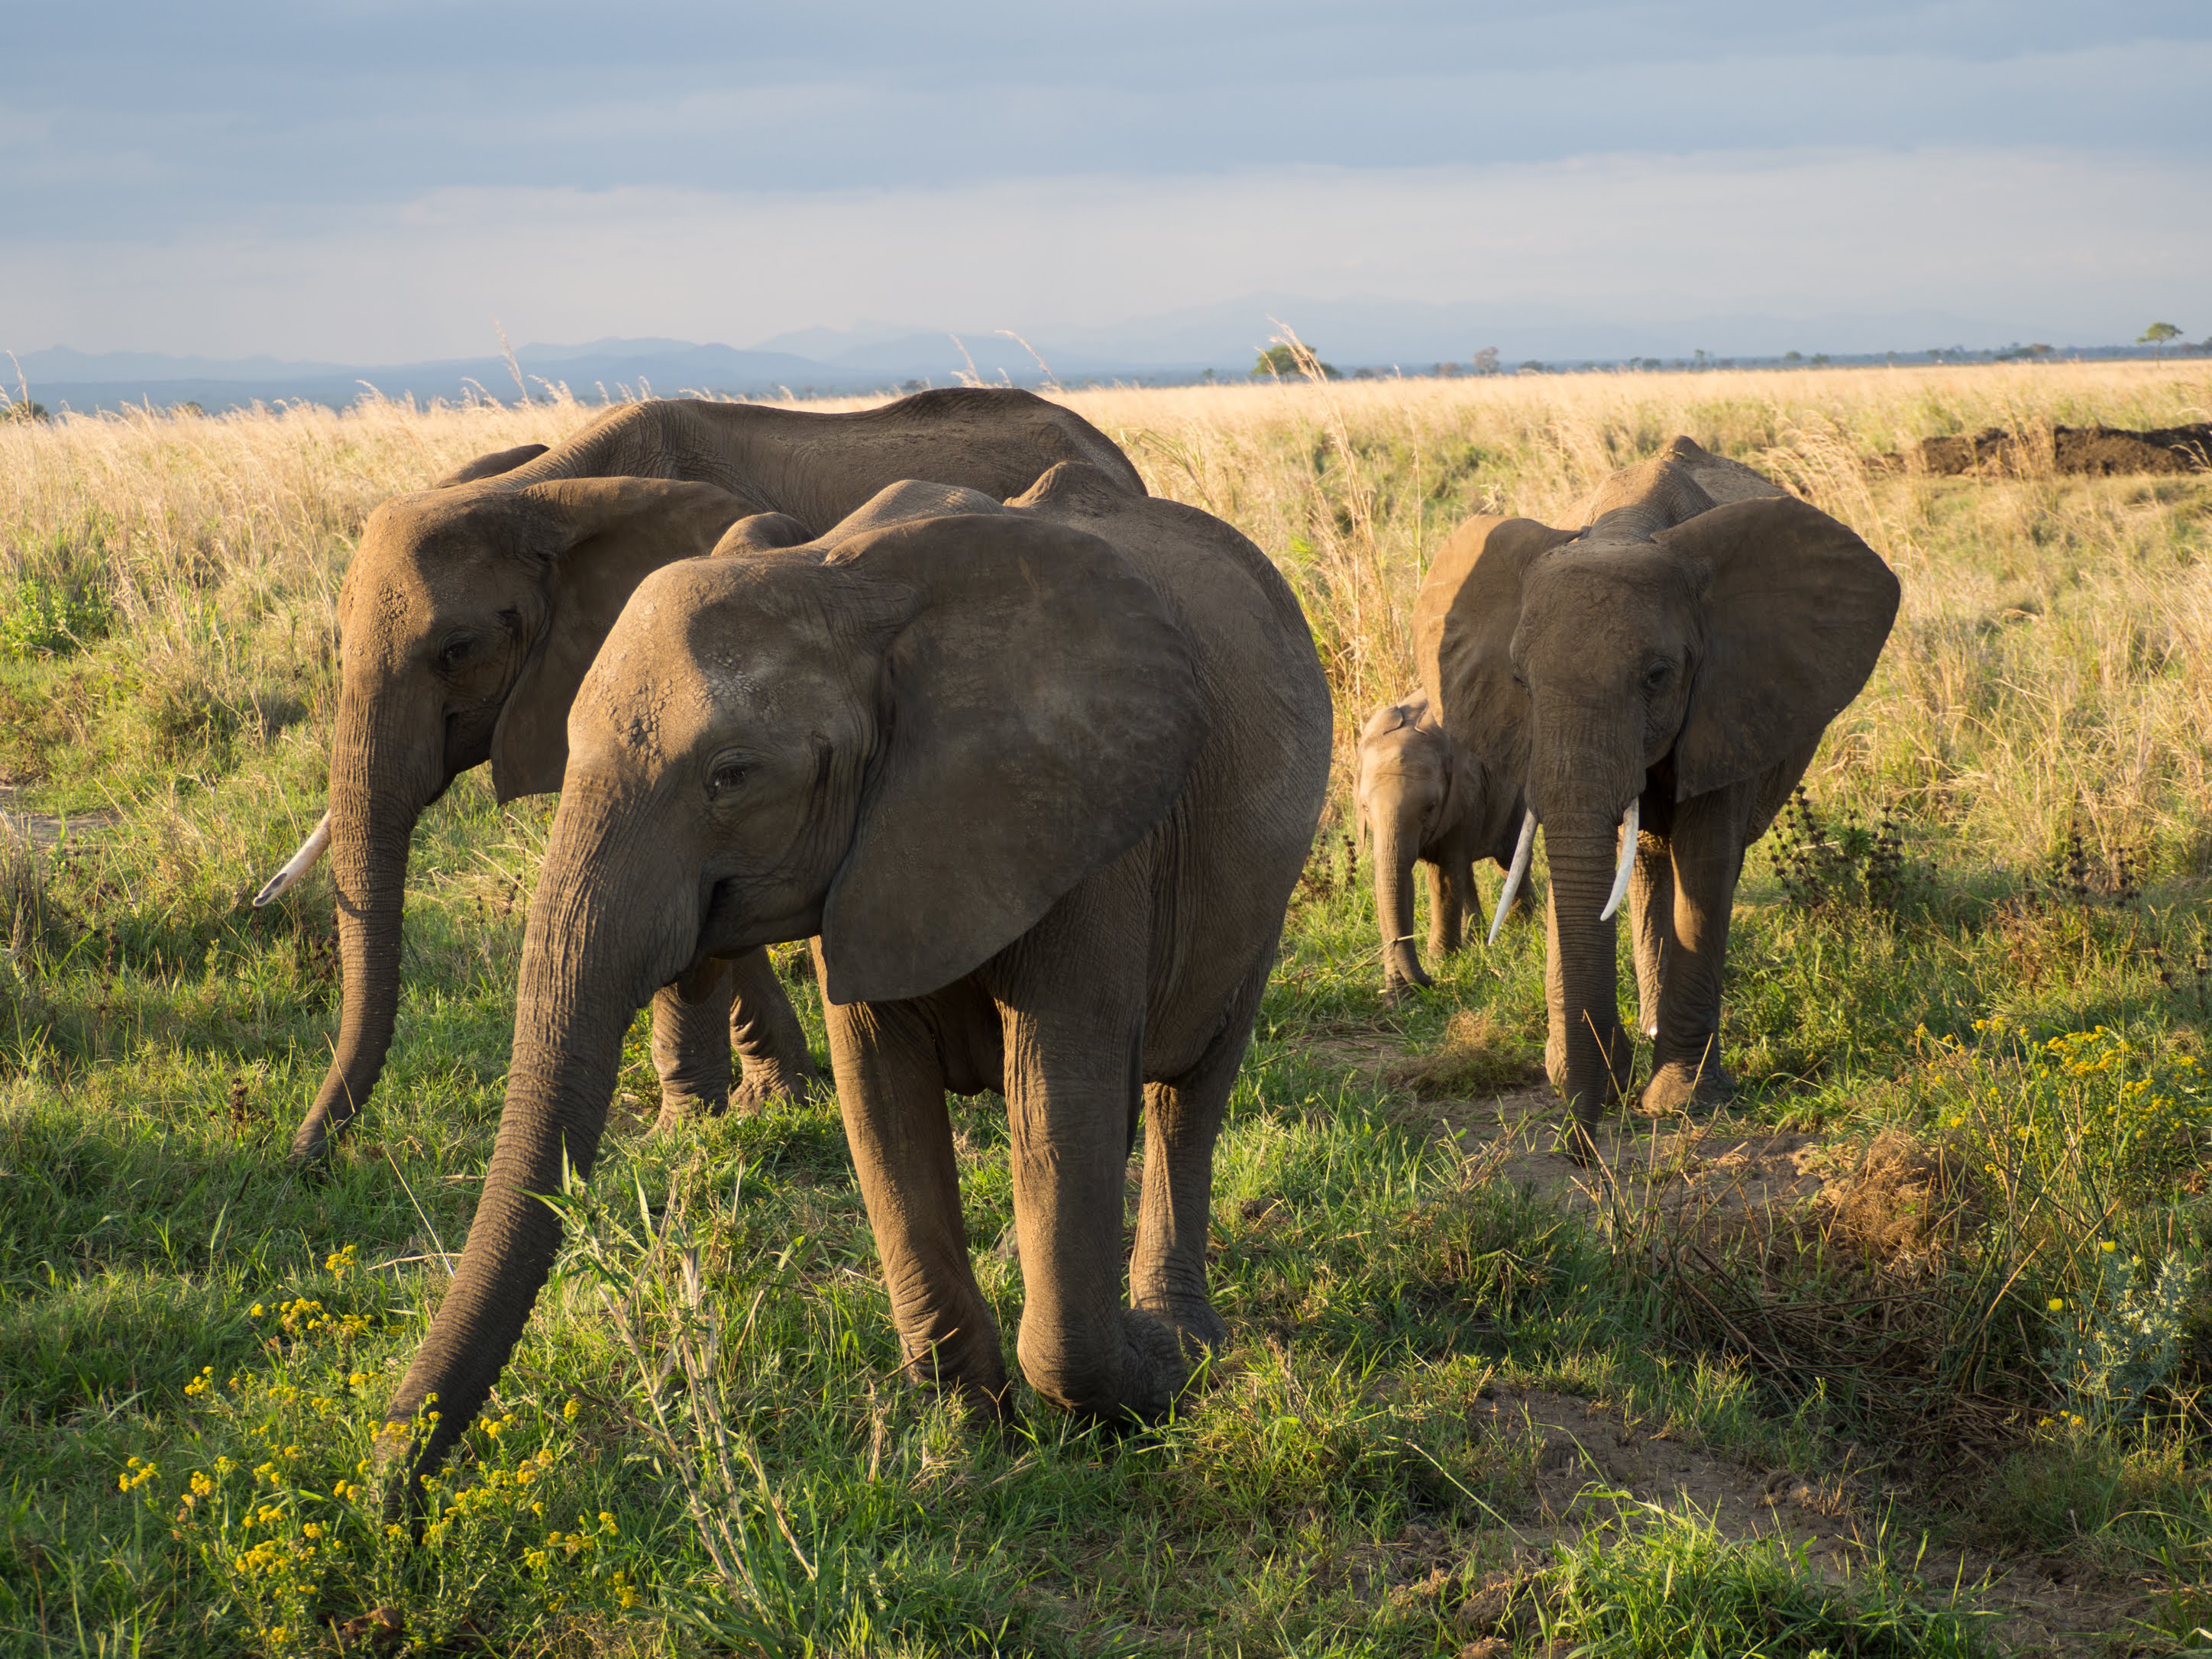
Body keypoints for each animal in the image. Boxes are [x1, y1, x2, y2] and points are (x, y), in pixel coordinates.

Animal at [380, 468, 1327, 1495]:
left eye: (731, 775)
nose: (393, 1494)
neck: (844, 589)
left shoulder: (1092, 832)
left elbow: (1057, 1110)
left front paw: (1143, 1379)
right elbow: (881, 1109)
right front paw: (970, 1440)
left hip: (1262, 880)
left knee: (1189, 1092)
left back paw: (1185, 1337)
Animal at [1353, 694, 1531, 995]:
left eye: (1430, 807)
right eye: (1365, 807)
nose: (1429, 982)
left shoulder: (1464, 792)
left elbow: (1444, 876)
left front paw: (1440, 962)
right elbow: (1398, 881)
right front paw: (1397, 992)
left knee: (1509, 858)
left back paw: (1522, 924)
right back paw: (1476, 939)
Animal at [1406, 435, 1893, 1150]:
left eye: (1658, 676)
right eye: (1520, 680)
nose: (1581, 1146)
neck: (1625, 529)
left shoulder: (1729, 696)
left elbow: (1706, 859)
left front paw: (1678, 1102)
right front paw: (1580, 1073)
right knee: (1643, 864)